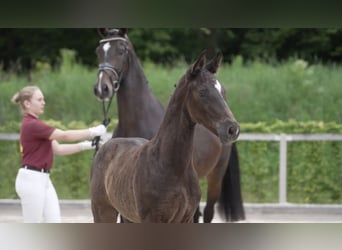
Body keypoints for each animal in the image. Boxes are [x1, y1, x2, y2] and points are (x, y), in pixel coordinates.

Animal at [92, 27, 244, 223]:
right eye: (202, 92)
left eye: (121, 50)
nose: (232, 129)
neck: (172, 166)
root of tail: (105, 147)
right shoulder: (153, 219)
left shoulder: (185, 218)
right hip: (105, 212)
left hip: (215, 176)